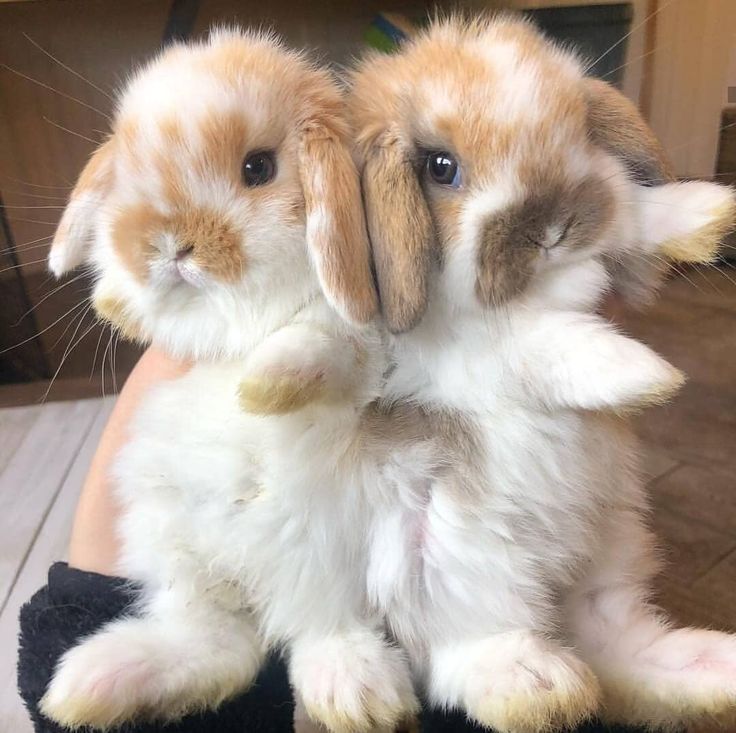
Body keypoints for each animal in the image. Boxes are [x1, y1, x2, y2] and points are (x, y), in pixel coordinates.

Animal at [346, 15, 736, 732]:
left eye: (578, 132)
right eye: (440, 167)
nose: (554, 226)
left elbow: (631, 215)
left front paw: (704, 210)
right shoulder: (451, 356)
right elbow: (528, 343)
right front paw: (640, 372)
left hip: (614, 550)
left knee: (620, 651)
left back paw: (711, 671)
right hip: (446, 565)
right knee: (466, 654)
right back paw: (537, 684)